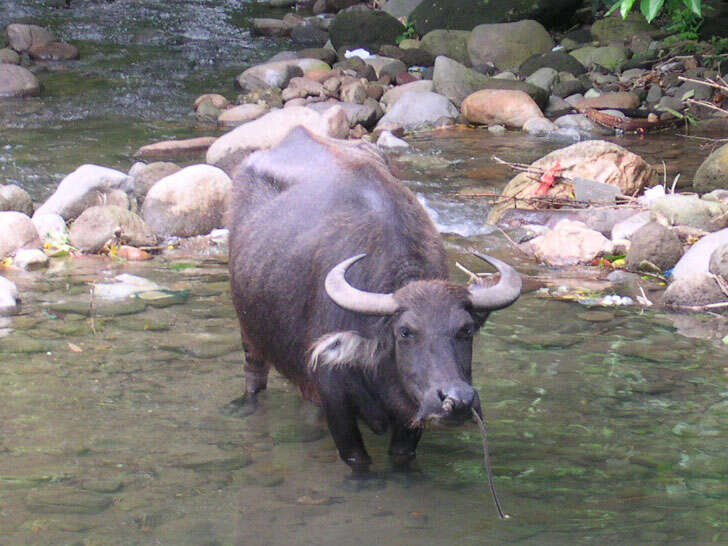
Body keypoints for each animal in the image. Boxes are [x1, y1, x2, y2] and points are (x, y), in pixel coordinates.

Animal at [230, 125, 520, 470]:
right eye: (405, 332)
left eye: (466, 330)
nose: (457, 400)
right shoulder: (335, 397)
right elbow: (356, 457)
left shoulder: (410, 415)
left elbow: (401, 454)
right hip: (249, 332)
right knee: (254, 376)